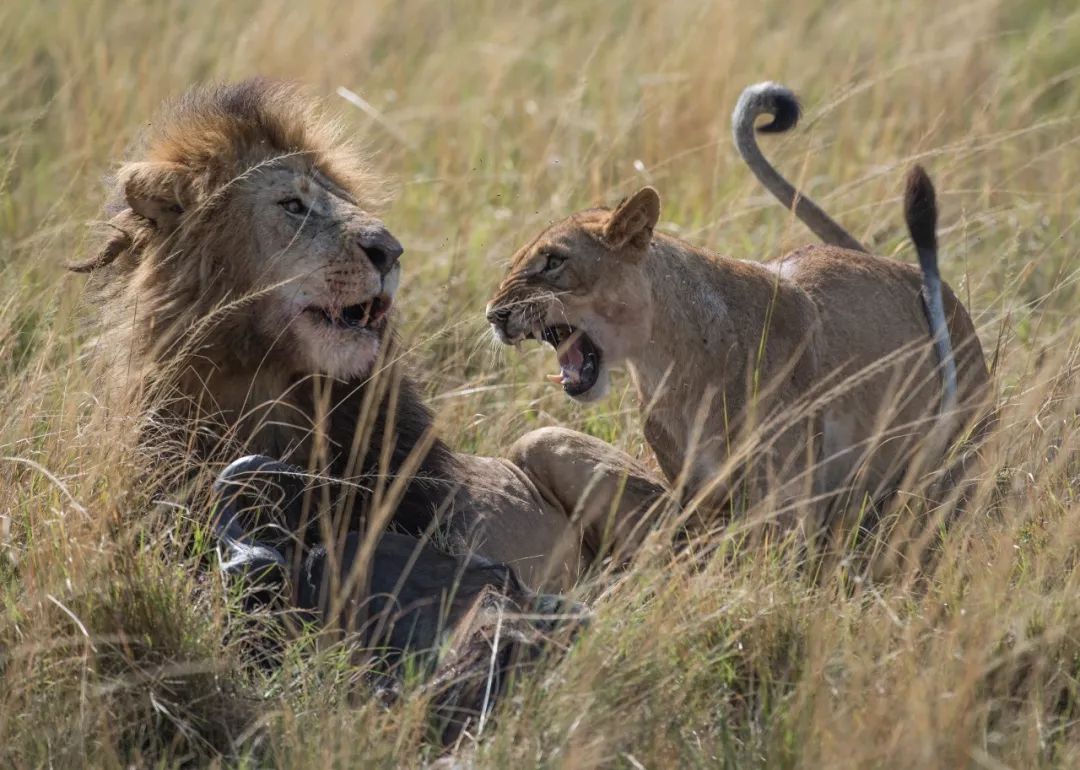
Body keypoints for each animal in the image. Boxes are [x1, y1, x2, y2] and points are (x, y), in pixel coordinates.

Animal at [486, 79, 989, 535]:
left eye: (554, 261)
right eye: (513, 264)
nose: (494, 315)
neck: (668, 361)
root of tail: (906, 269)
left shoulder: (787, 499)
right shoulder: (695, 491)